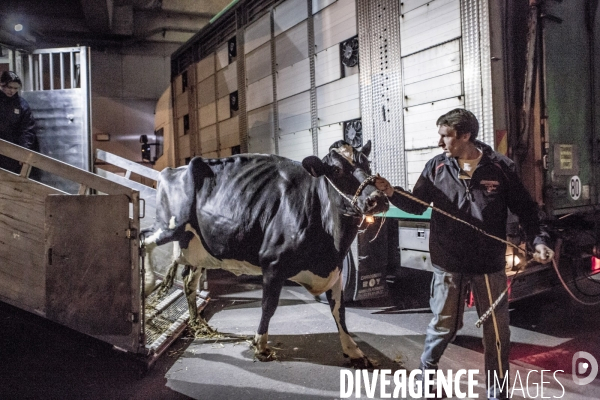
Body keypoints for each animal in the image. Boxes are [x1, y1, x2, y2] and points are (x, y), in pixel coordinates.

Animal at [144, 140, 392, 366]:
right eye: (337, 170)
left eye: (367, 164)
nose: (377, 199)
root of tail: (174, 169)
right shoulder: (273, 264)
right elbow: (268, 306)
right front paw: (261, 345)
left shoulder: (335, 270)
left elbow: (339, 312)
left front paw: (353, 351)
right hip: (170, 226)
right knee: (144, 238)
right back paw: (148, 282)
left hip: (195, 246)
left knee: (188, 282)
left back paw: (198, 323)